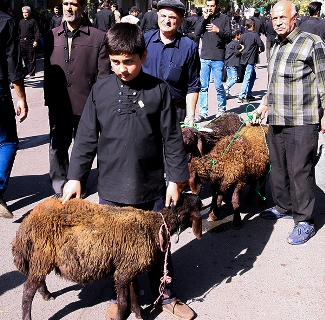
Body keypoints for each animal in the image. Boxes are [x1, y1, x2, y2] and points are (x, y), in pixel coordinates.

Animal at [12, 194, 202, 320]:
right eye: (198, 206)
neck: (154, 227)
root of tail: (28, 221)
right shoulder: (123, 273)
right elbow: (123, 302)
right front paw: (121, 317)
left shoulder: (128, 268)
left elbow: (134, 295)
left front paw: (139, 315)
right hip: (42, 256)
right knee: (27, 291)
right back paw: (27, 316)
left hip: (41, 258)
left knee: (37, 282)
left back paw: (46, 295)